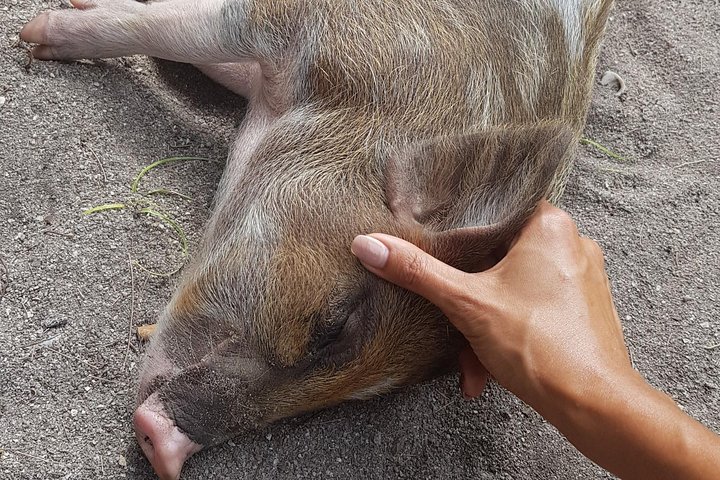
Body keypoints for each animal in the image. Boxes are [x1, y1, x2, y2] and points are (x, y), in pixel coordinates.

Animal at [20, 0, 614, 478]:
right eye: (333, 326)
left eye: (348, 402)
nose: (167, 447)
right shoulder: (301, 26)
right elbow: (173, 30)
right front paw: (35, 36)